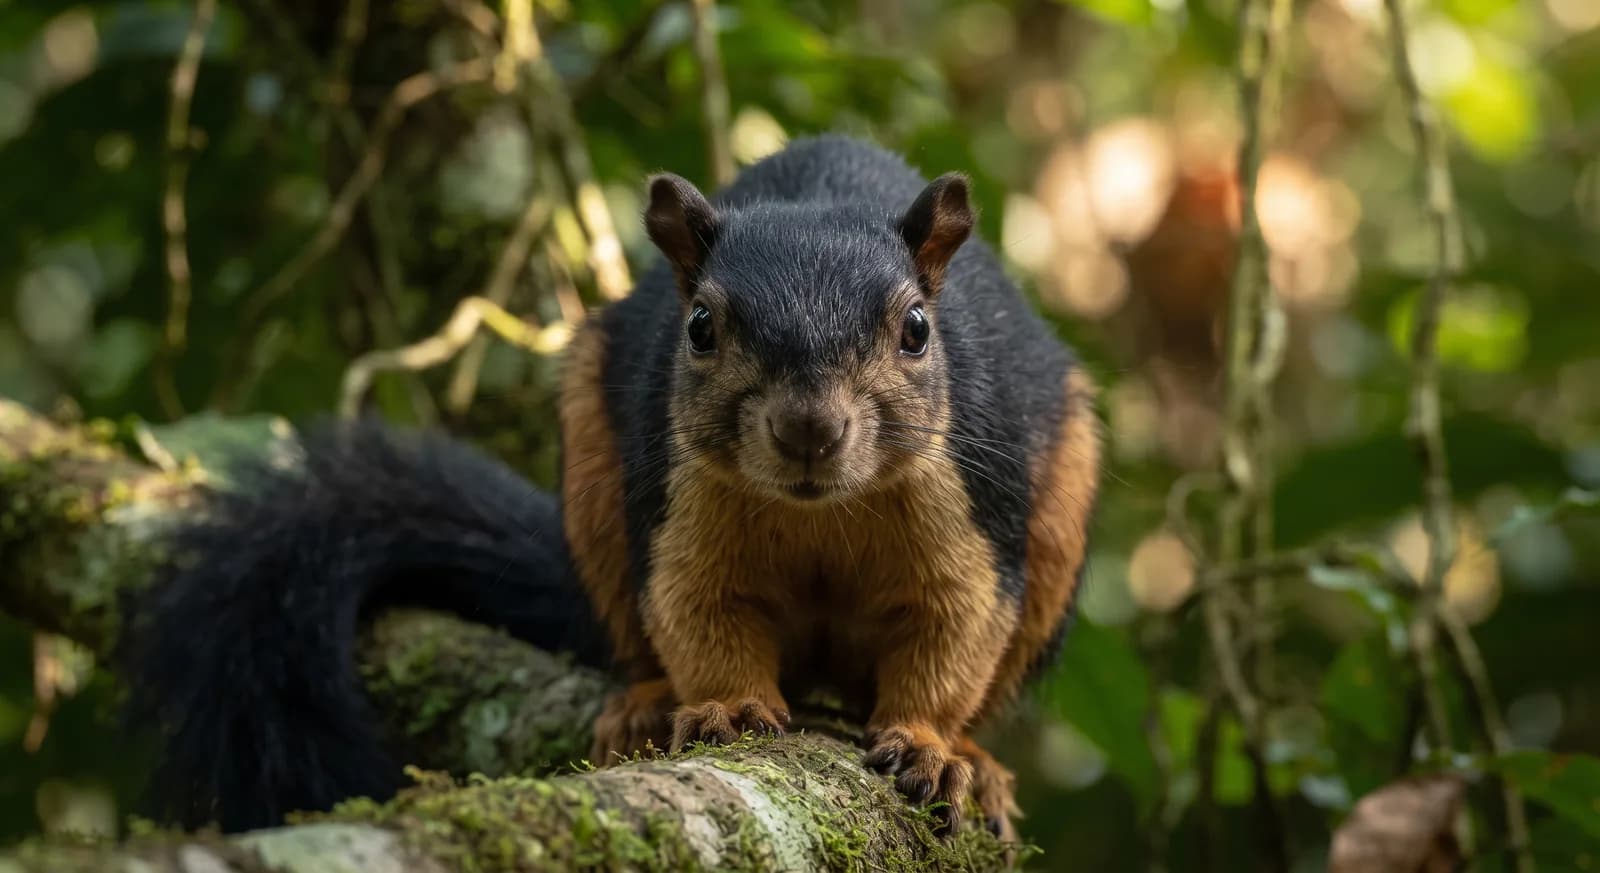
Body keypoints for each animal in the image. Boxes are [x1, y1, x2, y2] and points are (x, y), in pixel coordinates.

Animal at [122, 135, 1102, 840]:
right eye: (699, 326)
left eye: (917, 329)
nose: (808, 431)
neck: (817, 512)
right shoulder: (676, 507)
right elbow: (695, 608)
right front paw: (725, 703)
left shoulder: (970, 506)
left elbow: (954, 624)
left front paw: (932, 745)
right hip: (595, 475)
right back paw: (644, 701)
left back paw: (979, 762)